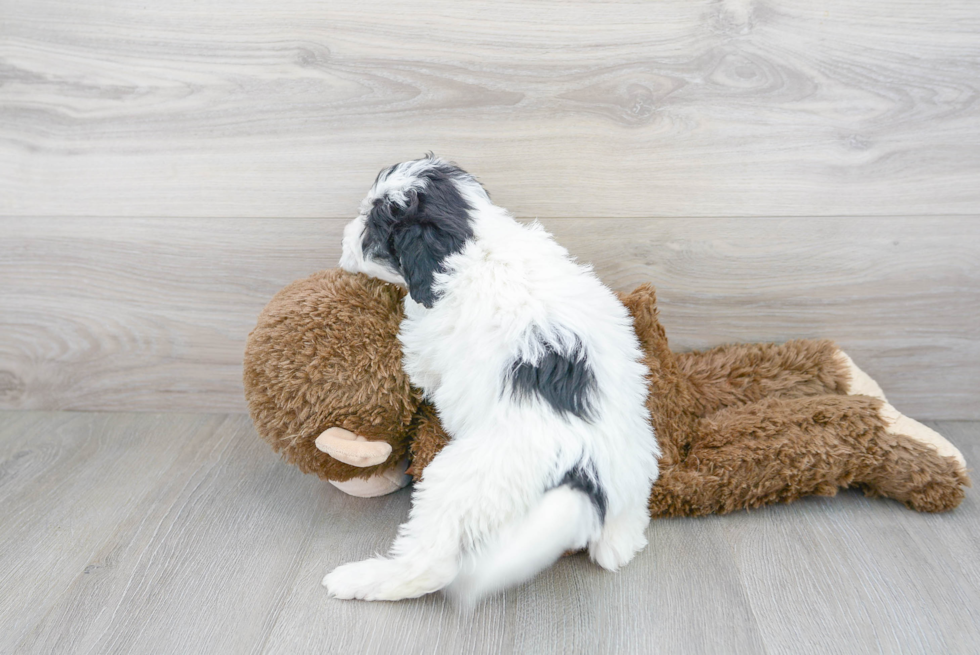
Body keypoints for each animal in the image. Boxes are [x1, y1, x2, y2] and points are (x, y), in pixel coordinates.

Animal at [324, 155, 660, 604]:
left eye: (371, 227)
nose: (343, 238)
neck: (475, 241)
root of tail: (584, 472)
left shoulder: (424, 344)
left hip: (460, 484)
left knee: (430, 565)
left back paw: (359, 579)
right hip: (635, 482)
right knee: (622, 543)